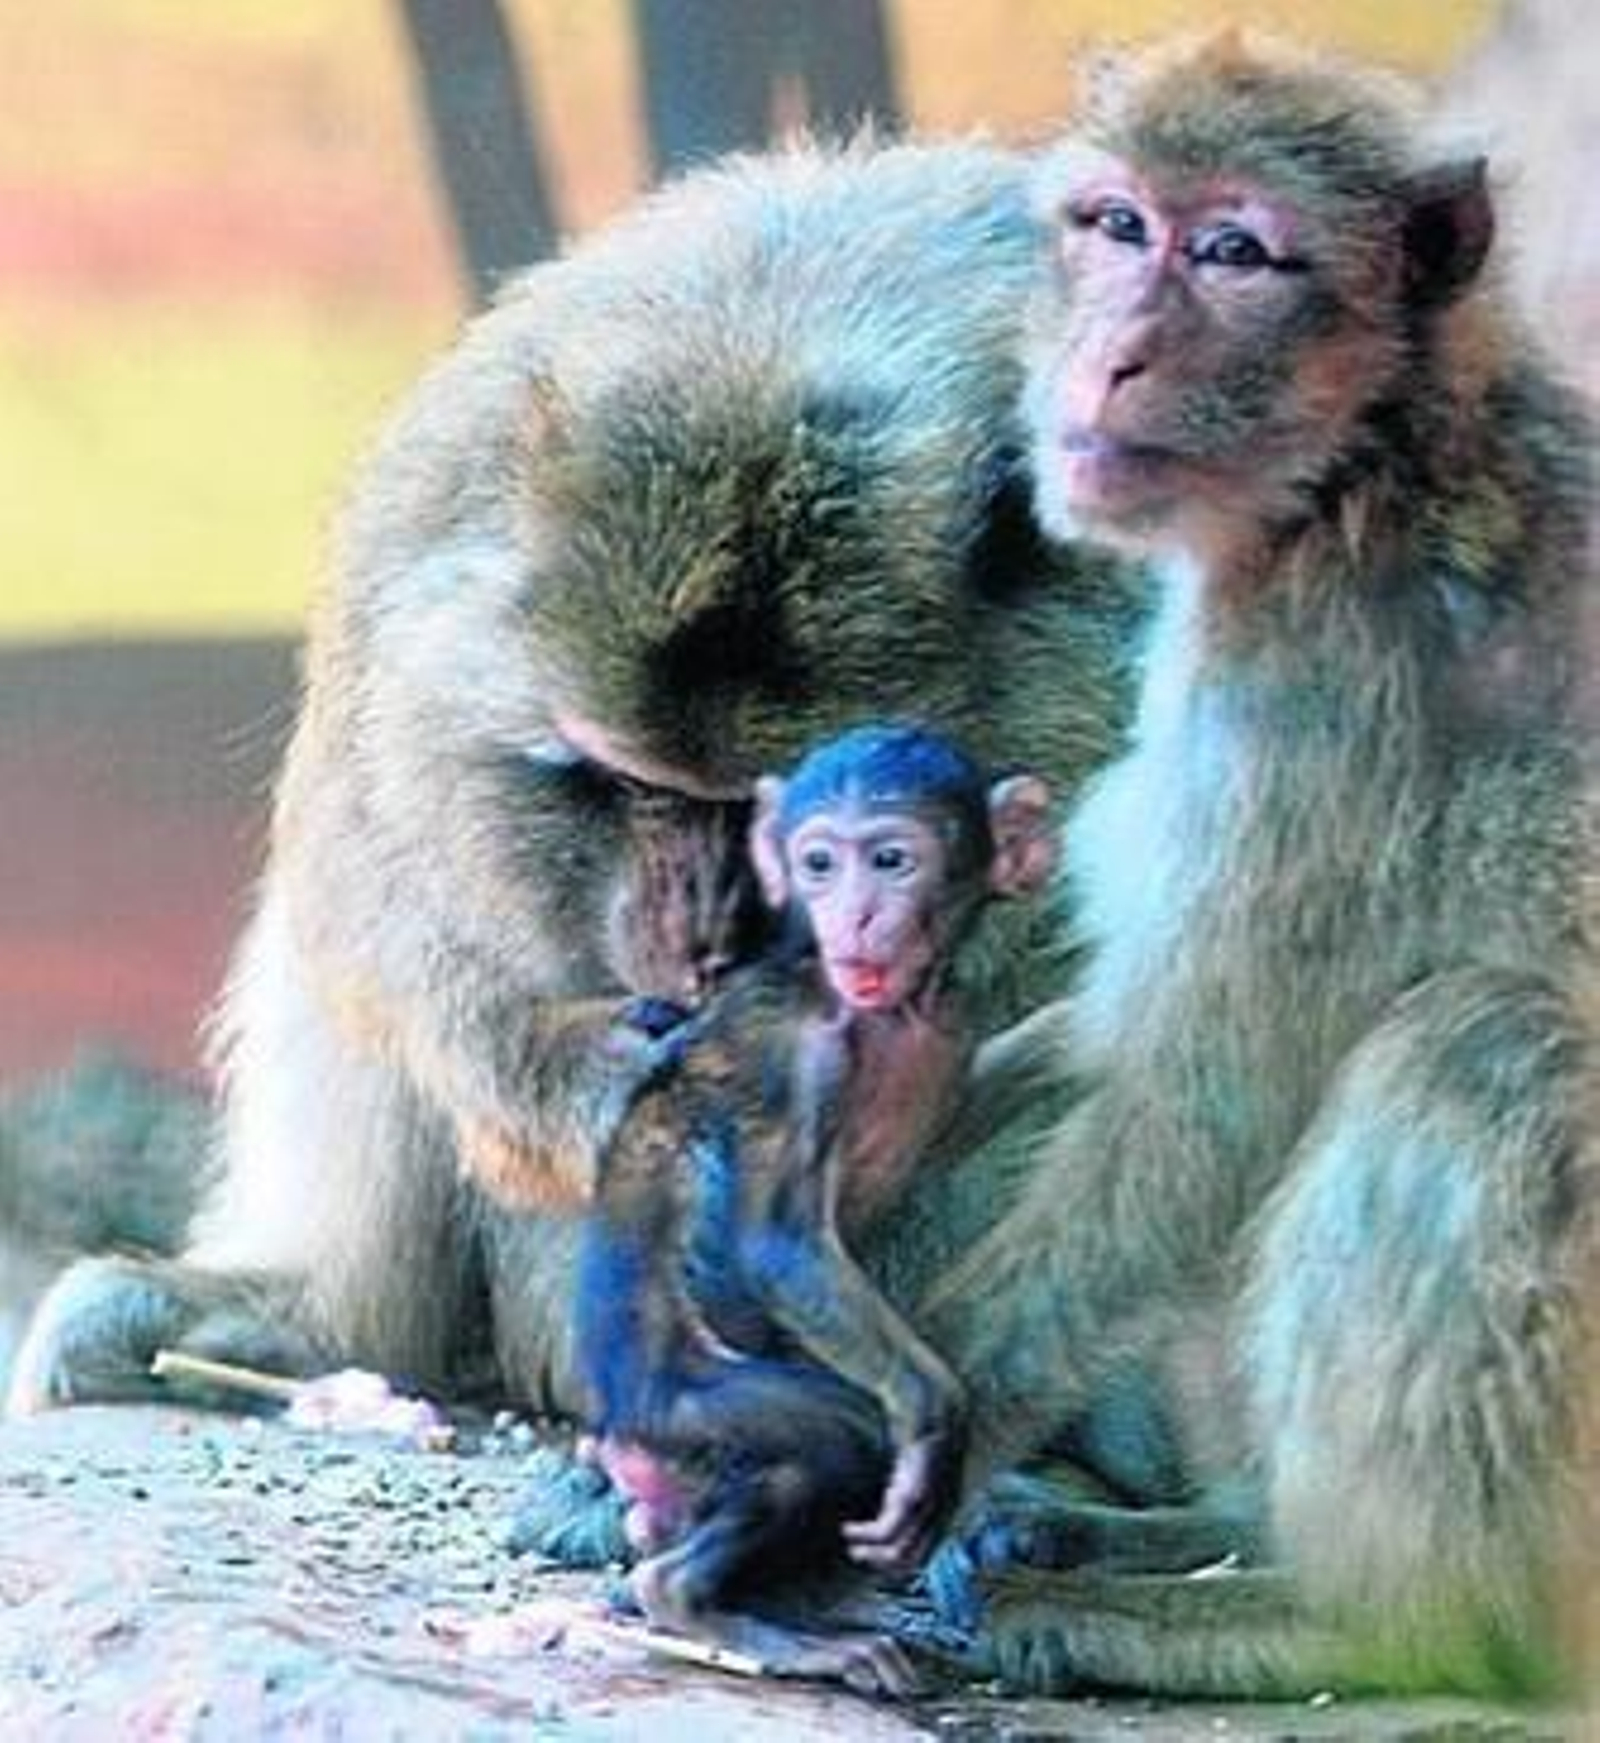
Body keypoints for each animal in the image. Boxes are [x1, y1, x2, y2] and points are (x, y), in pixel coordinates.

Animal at [6, 139, 1140, 1486]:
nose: (697, 943)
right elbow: (368, 878)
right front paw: (568, 1075)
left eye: (784, 820)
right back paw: (311, 1320)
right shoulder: (413, 553)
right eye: (629, 786)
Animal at [568, 725, 1054, 1694]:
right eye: (819, 863)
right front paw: (934, 1415)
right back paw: (701, 1603)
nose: (856, 916)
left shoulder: (954, 1022)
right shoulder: (793, 1043)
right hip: (683, 1405)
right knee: (835, 1441)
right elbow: (777, 1240)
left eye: (893, 860)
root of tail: (616, 1432)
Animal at [914, 34, 1599, 1702]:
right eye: (1114, 224)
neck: (1358, 463)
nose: (1108, 357)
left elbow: (1202, 1099)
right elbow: (1118, 1039)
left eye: (1232, 252)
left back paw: (1367, 1619)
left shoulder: (1322, 676)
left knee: (1483, 1051)